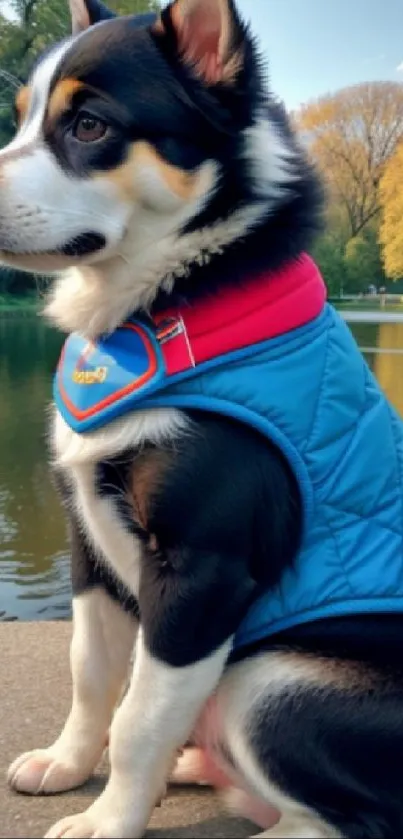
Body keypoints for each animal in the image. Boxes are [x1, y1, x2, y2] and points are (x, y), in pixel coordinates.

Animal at [2, 1, 403, 839]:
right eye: (21, 118)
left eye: (88, 125)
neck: (169, 299)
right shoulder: (89, 544)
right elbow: (93, 674)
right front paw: (68, 761)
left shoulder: (201, 569)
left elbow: (141, 715)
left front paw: (108, 819)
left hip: (277, 675)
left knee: (349, 819)